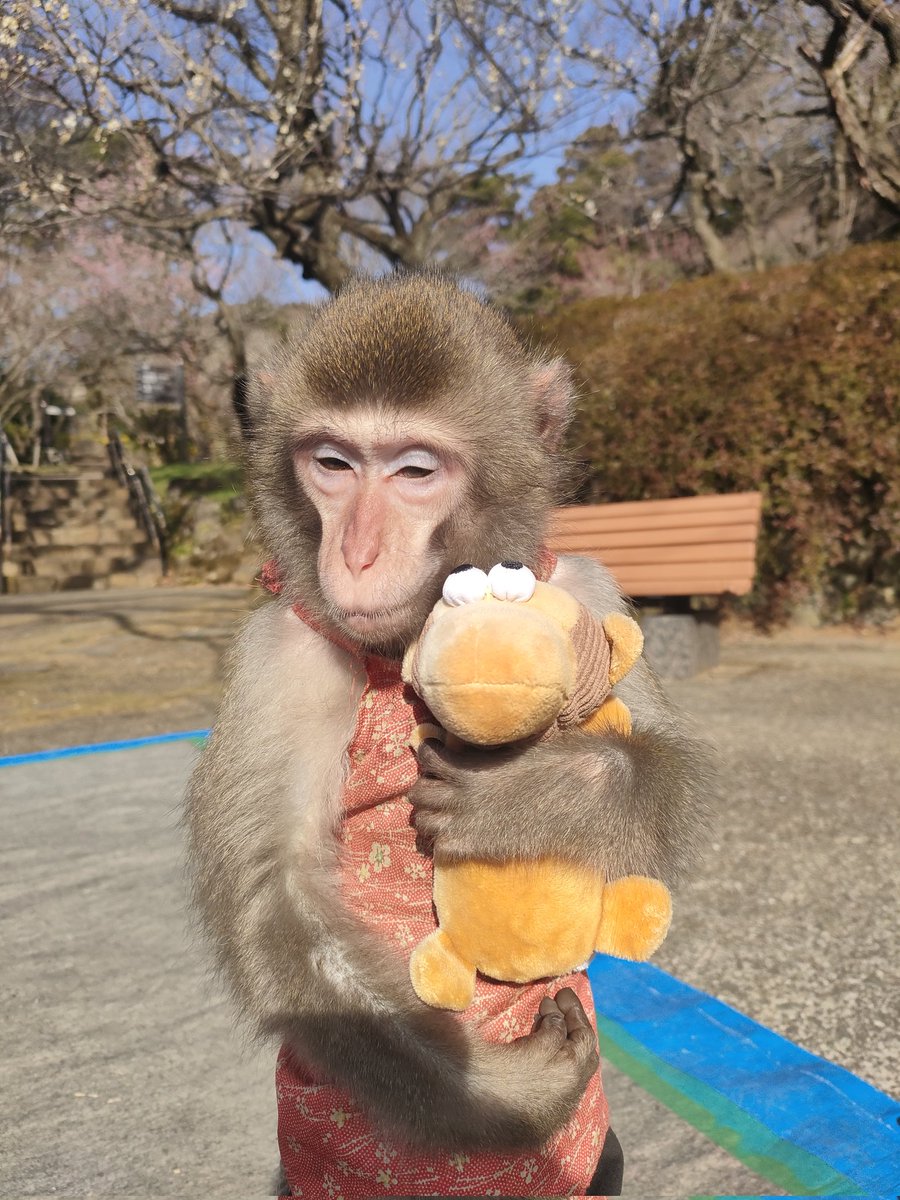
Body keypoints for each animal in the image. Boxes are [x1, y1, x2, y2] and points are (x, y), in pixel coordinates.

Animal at [184, 273, 710, 1198]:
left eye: (415, 471)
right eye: (332, 464)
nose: (356, 556)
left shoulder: (588, 588)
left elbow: (665, 776)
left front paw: (542, 792)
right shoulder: (282, 653)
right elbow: (273, 894)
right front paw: (503, 1095)